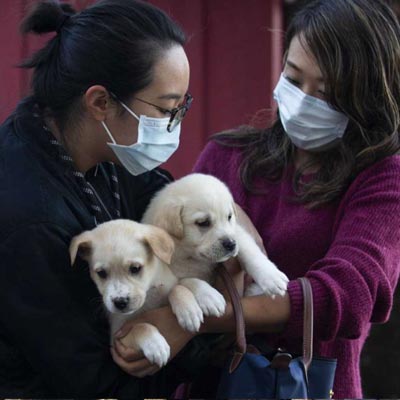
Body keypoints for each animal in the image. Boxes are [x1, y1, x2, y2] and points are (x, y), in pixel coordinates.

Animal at [69, 220, 177, 368]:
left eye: (135, 268)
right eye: (101, 273)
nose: (120, 302)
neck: (148, 296)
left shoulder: (169, 283)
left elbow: (181, 286)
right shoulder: (117, 338)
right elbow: (140, 326)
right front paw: (155, 345)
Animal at [142, 172, 290, 332]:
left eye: (229, 217)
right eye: (203, 223)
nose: (231, 244)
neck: (189, 255)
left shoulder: (237, 232)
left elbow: (250, 252)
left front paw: (271, 277)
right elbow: (186, 281)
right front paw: (209, 297)